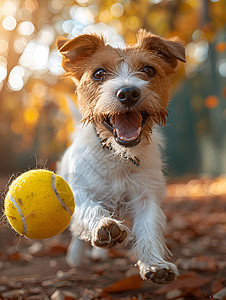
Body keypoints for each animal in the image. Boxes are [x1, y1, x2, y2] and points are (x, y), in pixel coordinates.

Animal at [56, 29, 185, 284]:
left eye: (148, 70)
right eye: (99, 73)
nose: (128, 92)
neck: (117, 154)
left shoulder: (146, 195)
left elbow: (149, 228)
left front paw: (155, 264)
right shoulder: (81, 190)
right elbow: (89, 208)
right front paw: (104, 226)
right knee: (78, 232)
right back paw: (76, 255)